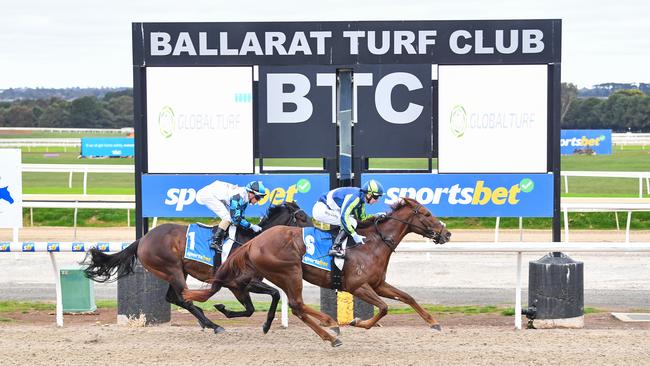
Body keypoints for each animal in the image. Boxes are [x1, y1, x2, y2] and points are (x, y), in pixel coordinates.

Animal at [83, 202, 312, 334]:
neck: (252, 241)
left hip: (176, 272)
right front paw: (261, 323)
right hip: (172, 269)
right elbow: (270, 297)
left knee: (175, 298)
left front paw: (228, 311)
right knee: (184, 298)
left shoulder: (241, 285)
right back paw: (213, 325)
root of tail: (143, 239)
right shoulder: (239, 282)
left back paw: (205, 321)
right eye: (302, 218)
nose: (314, 233)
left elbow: (253, 308)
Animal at [184, 197, 450, 346]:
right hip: (289, 272)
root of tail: (254, 241)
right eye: (427, 214)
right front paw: (357, 322)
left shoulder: (377, 284)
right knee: (297, 305)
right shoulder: (358, 286)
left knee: (296, 306)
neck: (372, 243)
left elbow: (407, 297)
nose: (446, 233)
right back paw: (331, 330)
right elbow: (384, 308)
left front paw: (434, 323)